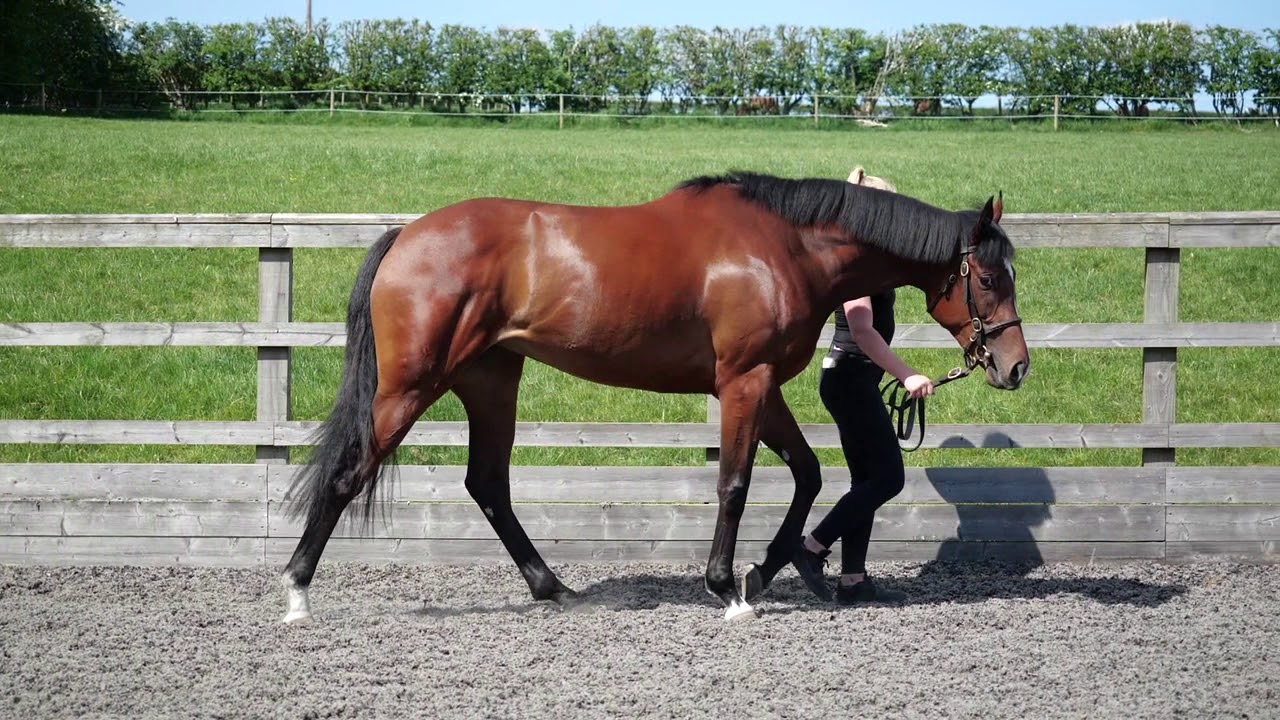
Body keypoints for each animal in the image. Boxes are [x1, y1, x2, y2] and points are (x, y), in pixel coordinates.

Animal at [280, 172, 1030, 624]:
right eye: (990, 278)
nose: (1014, 366)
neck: (784, 247)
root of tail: (407, 235)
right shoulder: (743, 383)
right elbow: (735, 483)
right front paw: (728, 588)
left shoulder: (761, 384)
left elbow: (809, 474)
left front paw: (769, 570)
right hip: (411, 387)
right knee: (348, 474)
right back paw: (296, 594)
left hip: (491, 382)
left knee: (487, 484)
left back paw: (554, 588)